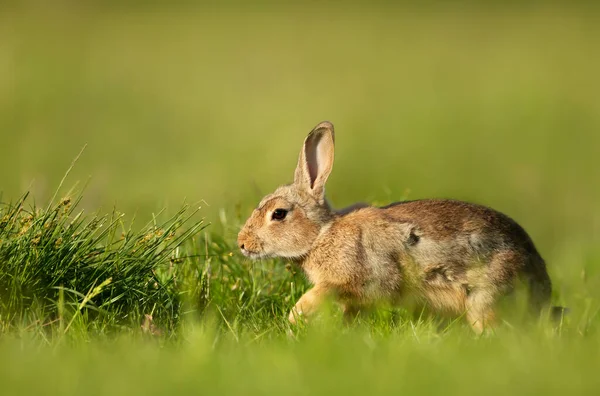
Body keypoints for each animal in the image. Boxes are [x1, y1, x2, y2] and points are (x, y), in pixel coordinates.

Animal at [237, 121, 556, 334]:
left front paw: (295, 316)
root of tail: (542, 285)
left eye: (278, 214)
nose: (241, 243)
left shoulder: (359, 277)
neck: (321, 235)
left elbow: (323, 292)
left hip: (484, 296)